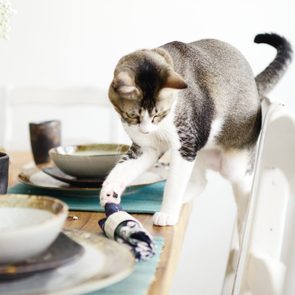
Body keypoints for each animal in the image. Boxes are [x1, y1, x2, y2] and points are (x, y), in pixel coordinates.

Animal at [99, 34, 292, 229]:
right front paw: (109, 192)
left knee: (243, 185)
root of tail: (255, 85)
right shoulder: (147, 148)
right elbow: (121, 170)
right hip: (200, 152)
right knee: (201, 182)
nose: (146, 131)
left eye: (158, 114)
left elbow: (174, 185)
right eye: (133, 116)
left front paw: (167, 214)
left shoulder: (185, 144)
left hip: (233, 165)